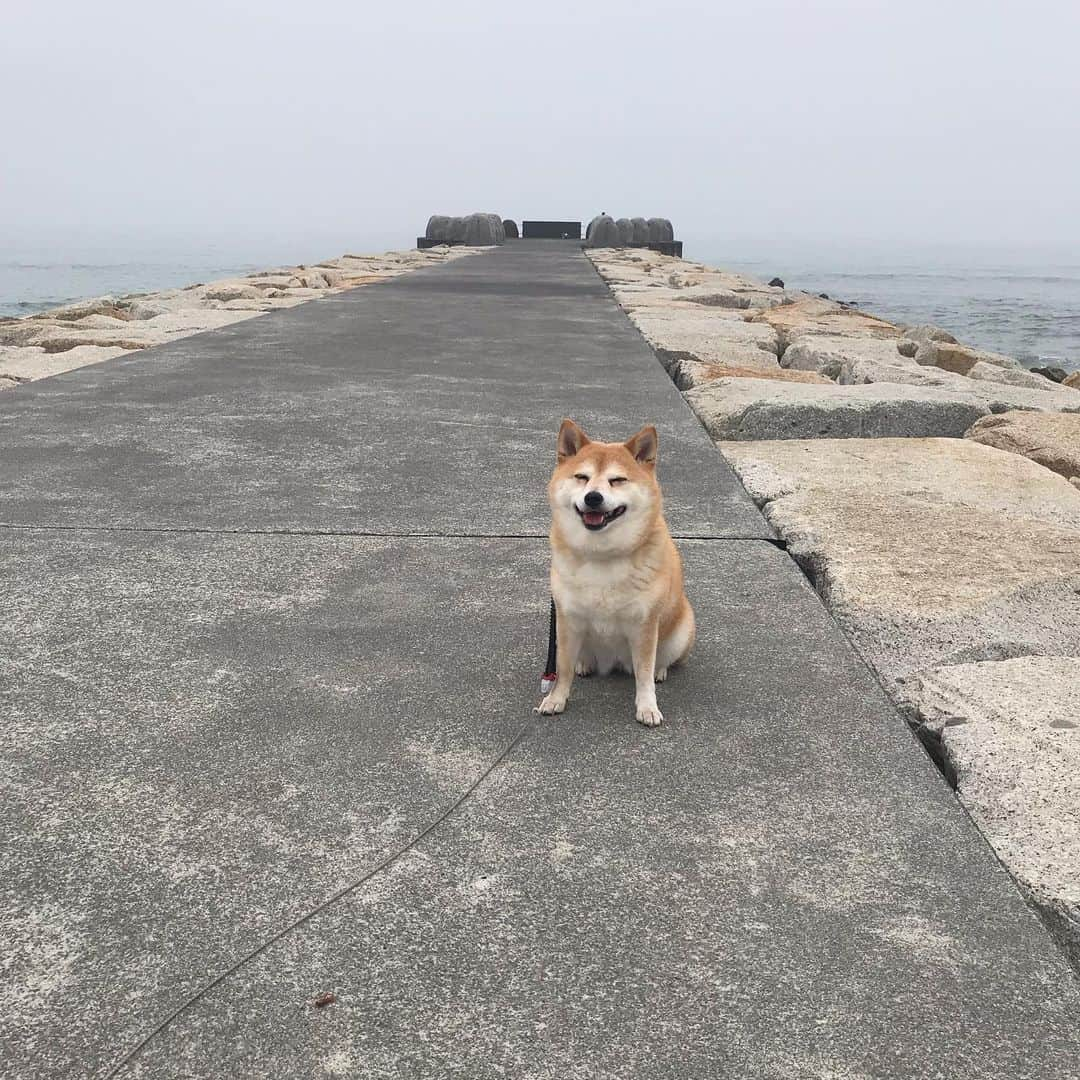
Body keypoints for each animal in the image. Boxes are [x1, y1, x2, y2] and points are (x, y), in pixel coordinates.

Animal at [535, 416, 695, 730]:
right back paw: (584, 664)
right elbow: (562, 667)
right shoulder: (567, 618)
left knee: (659, 662)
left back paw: (660, 670)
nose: (593, 497)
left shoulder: (644, 625)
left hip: (681, 629)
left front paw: (647, 707)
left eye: (617, 480)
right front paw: (556, 699)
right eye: (582, 477)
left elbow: (643, 674)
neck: (602, 555)